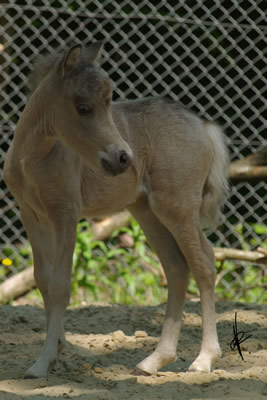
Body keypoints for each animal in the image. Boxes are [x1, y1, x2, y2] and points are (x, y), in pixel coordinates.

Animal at [3, 43, 229, 378]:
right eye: (83, 107)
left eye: (109, 104)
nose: (123, 158)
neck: (34, 158)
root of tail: (203, 126)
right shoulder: (32, 215)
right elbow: (43, 279)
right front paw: (57, 348)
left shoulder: (66, 214)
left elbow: (60, 284)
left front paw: (43, 362)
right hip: (147, 211)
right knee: (176, 267)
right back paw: (155, 360)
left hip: (177, 207)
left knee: (203, 261)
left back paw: (204, 359)